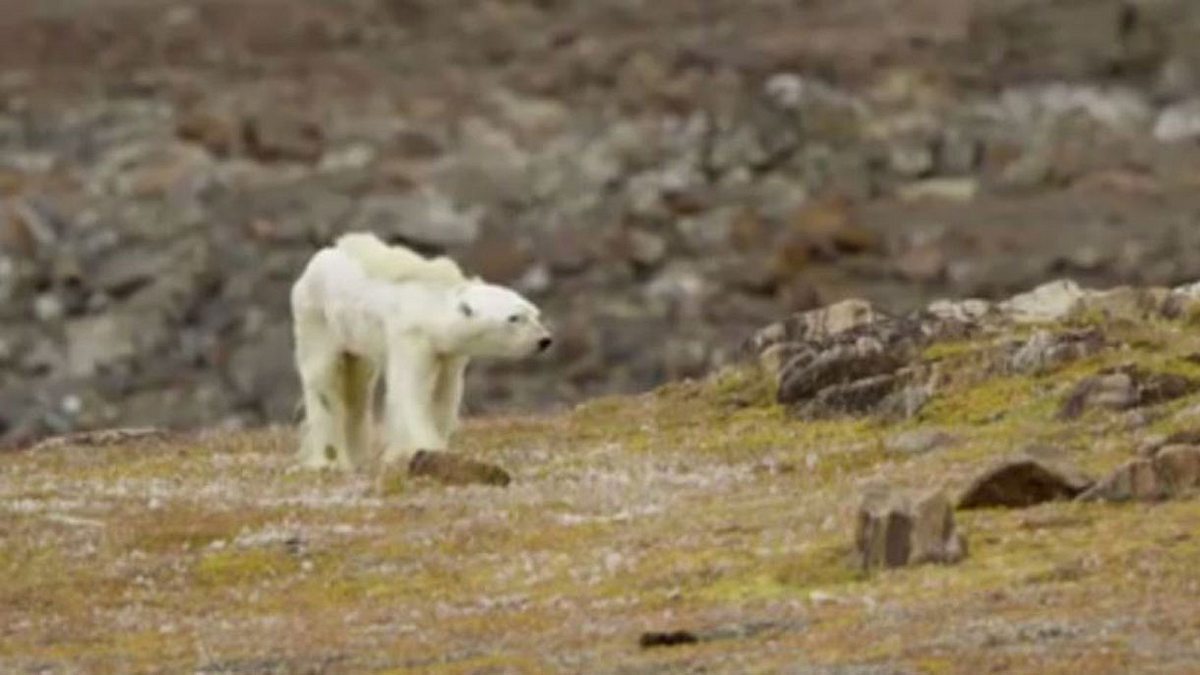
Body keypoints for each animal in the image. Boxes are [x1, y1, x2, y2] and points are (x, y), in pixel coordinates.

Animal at [290, 230, 552, 468]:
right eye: (514, 318)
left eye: (535, 313)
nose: (544, 340)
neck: (431, 302)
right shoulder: (410, 335)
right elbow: (410, 391)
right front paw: (424, 449)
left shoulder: (448, 353)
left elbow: (445, 394)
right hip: (318, 317)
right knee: (324, 378)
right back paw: (329, 459)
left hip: (353, 335)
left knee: (358, 384)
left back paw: (357, 456)